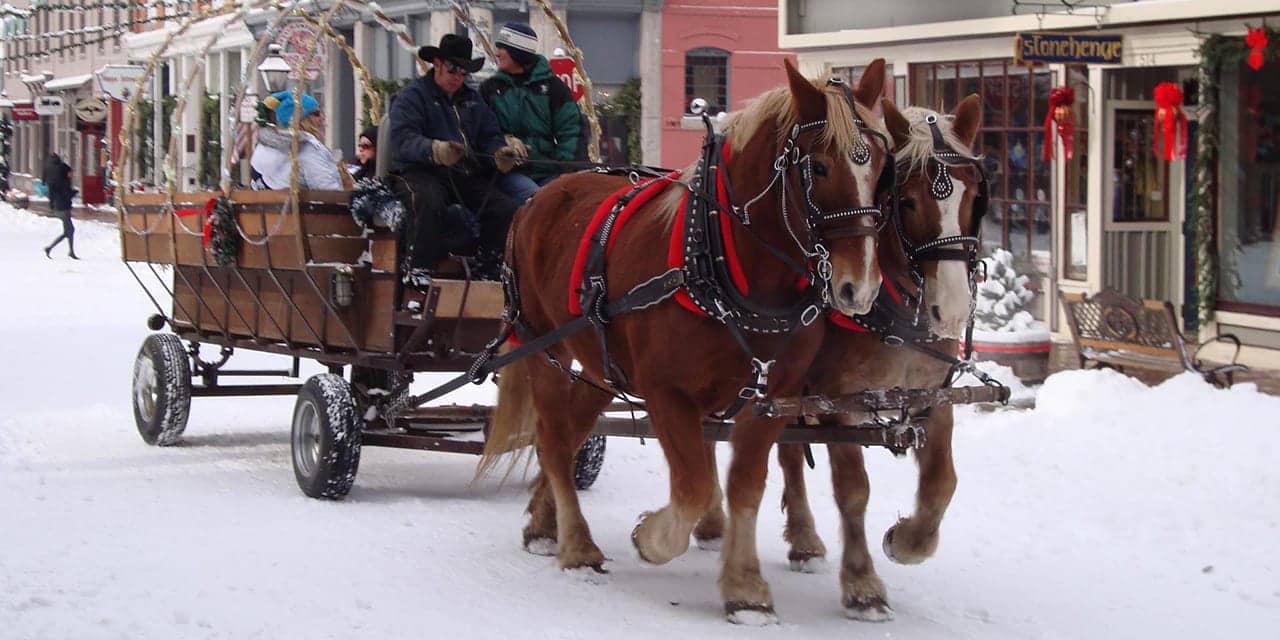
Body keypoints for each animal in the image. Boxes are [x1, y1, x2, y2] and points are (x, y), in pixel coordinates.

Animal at [479, 59, 895, 624]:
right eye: (820, 168)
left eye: (881, 167)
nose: (861, 288)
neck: (725, 263)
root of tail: (538, 197)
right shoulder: (666, 392)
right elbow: (694, 487)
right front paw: (651, 537)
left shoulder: (772, 397)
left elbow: (745, 486)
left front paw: (744, 588)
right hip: (543, 345)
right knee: (552, 436)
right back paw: (577, 546)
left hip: (604, 366)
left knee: (570, 431)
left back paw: (545, 524)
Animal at [768, 95, 988, 621]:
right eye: (905, 201)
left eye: (974, 200)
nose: (952, 310)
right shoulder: (839, 400)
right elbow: (853, 489)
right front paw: (862, 584)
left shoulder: (933, 396)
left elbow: (942, 483)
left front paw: (907, 541)